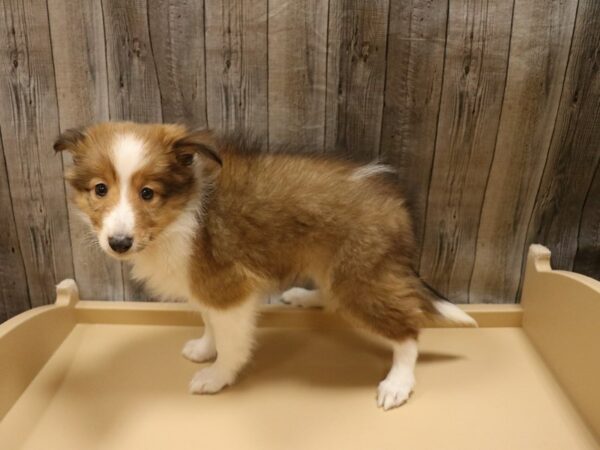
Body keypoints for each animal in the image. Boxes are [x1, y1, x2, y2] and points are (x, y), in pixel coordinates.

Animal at [56, 121, 478, 410]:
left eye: (148, 193)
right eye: (100, 190)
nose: (120, 243)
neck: (179, 215)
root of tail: (395, 205)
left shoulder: (229, 291)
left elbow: (231, 343)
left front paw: (216, 376)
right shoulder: (207, 287)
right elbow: (209, 324)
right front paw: (204, 349)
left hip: (359, 277)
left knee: (408, 328)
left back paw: (397, 383)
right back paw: (304, 297)